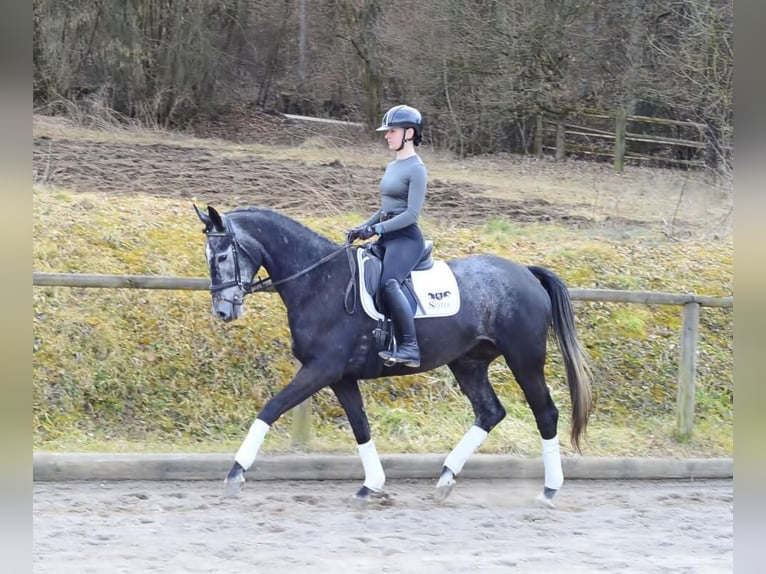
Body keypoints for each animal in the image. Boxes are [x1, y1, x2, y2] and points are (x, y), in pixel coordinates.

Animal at [195, 206, 596, 508]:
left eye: (222, 255)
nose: (223, 311)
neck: (320, 281)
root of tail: (526, 272)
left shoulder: (320, 370)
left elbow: (271, 408)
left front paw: (235, 474)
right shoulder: (341, 377)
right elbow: (361, 427)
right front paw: (371, 485)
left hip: (524, 359)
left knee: (545, 413)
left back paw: (549, 490)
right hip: (468, 362)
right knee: (490, 412)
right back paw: (445, 478)